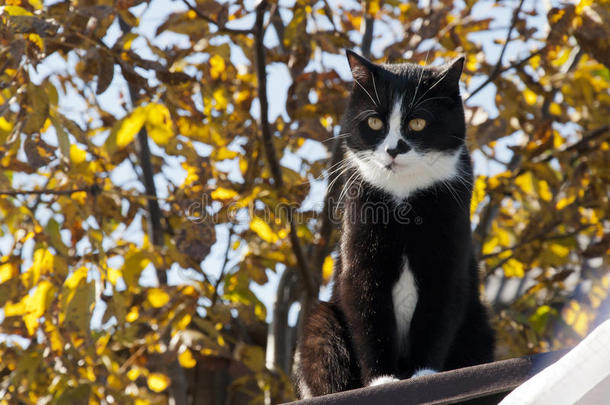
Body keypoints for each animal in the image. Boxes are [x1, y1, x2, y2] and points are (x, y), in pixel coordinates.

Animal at [292, 51, 496, 398]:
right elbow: (368, 310)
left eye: (418, 122)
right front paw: (382, 380)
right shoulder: (361, 252)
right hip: (320, 324)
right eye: (374, 121)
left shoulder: (447, 257)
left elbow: (437, 312)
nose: (393, 149)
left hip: (479, 324)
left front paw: (424, 375)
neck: (403, 195)